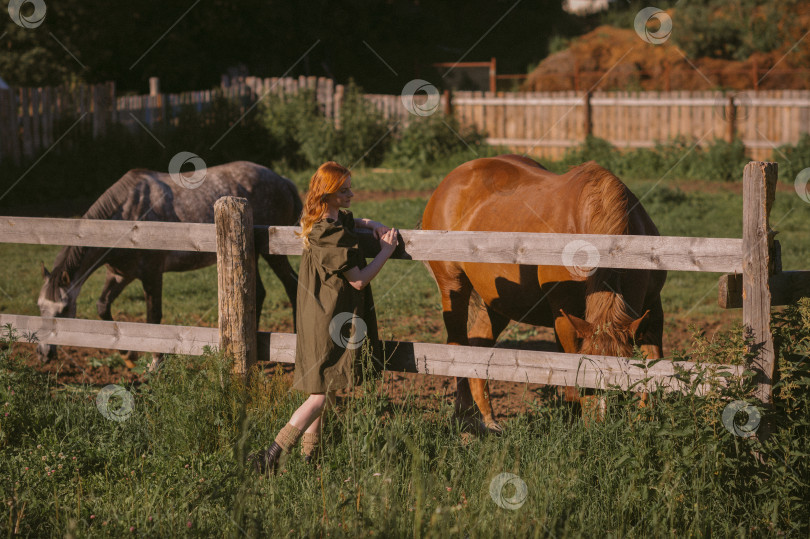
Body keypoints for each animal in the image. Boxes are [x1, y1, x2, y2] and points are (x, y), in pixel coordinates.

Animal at [36, 161, 302, 372]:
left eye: (63, 310)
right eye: (40, 307)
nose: (43, 352)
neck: (127, 217)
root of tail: (283, 181)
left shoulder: (152, 275)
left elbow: (154, 318)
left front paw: (156, 363)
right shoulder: (120, 275)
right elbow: (103, 307)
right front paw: (128, 356)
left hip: (274, 254)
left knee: (292, 287)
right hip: (251, 257)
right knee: (259, 294)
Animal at [420, 154, 664, 432]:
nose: (602, 426)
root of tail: (449, 181)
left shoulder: (652, 311)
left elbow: (655, 367)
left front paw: (647, 419)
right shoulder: (566, 318)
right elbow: (569, 376)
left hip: (497, 301)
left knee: (479, 345)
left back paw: (488, 420)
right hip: (453, 287)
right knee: (457, 344)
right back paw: (465, 416)